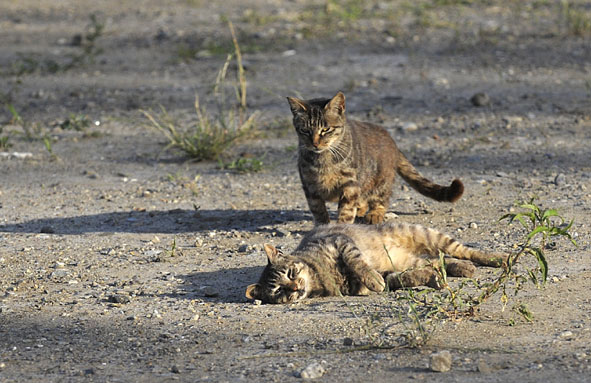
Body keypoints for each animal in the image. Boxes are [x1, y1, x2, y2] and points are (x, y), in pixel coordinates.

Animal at [245, 224, 508, 304]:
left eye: (291, 273)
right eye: (278, 290)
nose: (296, 287)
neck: (319, 277)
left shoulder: (339, 241)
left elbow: (357, 261)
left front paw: (371, 278)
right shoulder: (382, 276)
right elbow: (406, 277)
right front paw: (430, 280)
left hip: (427, 234)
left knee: (463, 251)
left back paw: (498, 258)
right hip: (412, 258)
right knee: (438, 261)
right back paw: (458, 269)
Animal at [290, 92, 464, 225]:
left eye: (326, 130)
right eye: (305, 131)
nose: (315, 143)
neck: (323, 161)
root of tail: (392, 140)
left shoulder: (349, 185)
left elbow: (346, 211)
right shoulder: (310, 187)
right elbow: (319, 211)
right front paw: (323, 226)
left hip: (381, 181)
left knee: (381, 201)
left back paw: (374, 214)